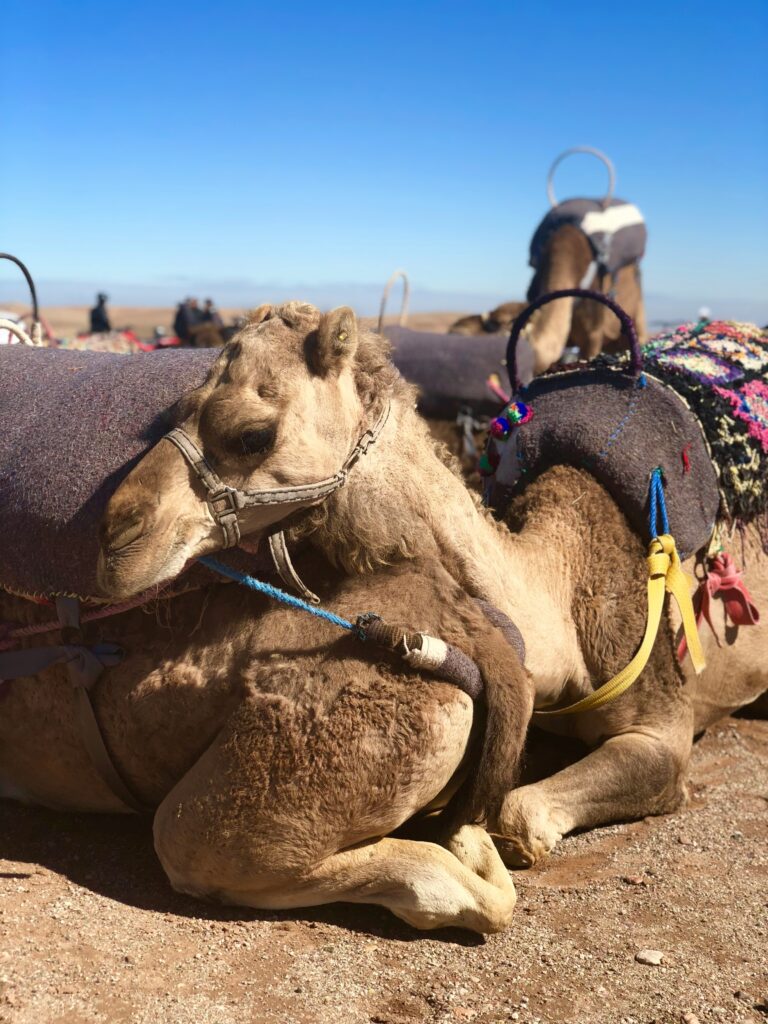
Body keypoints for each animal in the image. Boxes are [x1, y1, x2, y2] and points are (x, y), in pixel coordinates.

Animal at [94, 301, 767, 876]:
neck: (560, 593)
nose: (114, 538)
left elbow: (519, 812)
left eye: (251, 435)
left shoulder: (664, 732)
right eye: (179, 408)